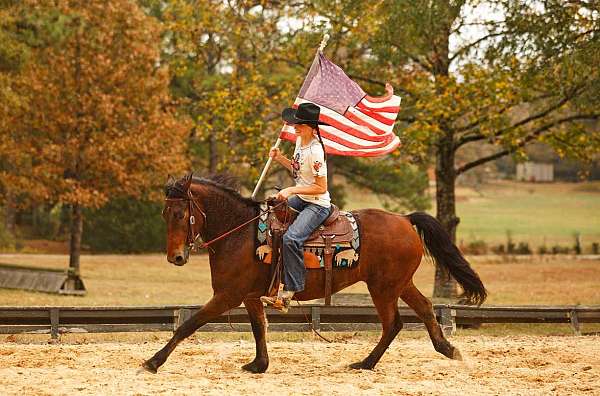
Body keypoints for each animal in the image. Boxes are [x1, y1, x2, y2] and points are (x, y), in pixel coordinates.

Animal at [142, 173, 488, 374]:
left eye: (179, 213)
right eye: (163, 212)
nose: (175, 257)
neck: (239, 232)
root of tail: (404, 219)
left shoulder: (227, 296)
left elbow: (188, 325)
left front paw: (153, 362)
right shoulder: (250, 296)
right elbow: (258, 329)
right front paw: (259, 364)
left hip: (383, 288)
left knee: (393, 323)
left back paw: (365, 363)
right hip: (399, 284)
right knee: (426, 309)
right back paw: (447, 349)